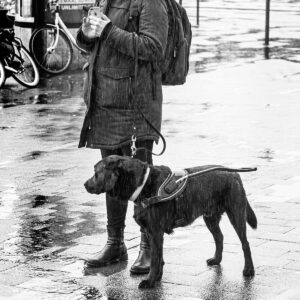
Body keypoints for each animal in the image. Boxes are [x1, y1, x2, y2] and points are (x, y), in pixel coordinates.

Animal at [85, 155, 258, 288]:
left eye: (95, 172)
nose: (85, 184)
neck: (143, 184)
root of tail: (234, 173)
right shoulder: (151, 233)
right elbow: (158, 258)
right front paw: (156, 278)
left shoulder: (155, 232)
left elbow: (155, 260)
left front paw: (149, 281)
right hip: (210, 217)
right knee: (219, 237)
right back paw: (216, 260)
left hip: (236, 214)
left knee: (245, 243)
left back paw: (249, 270)